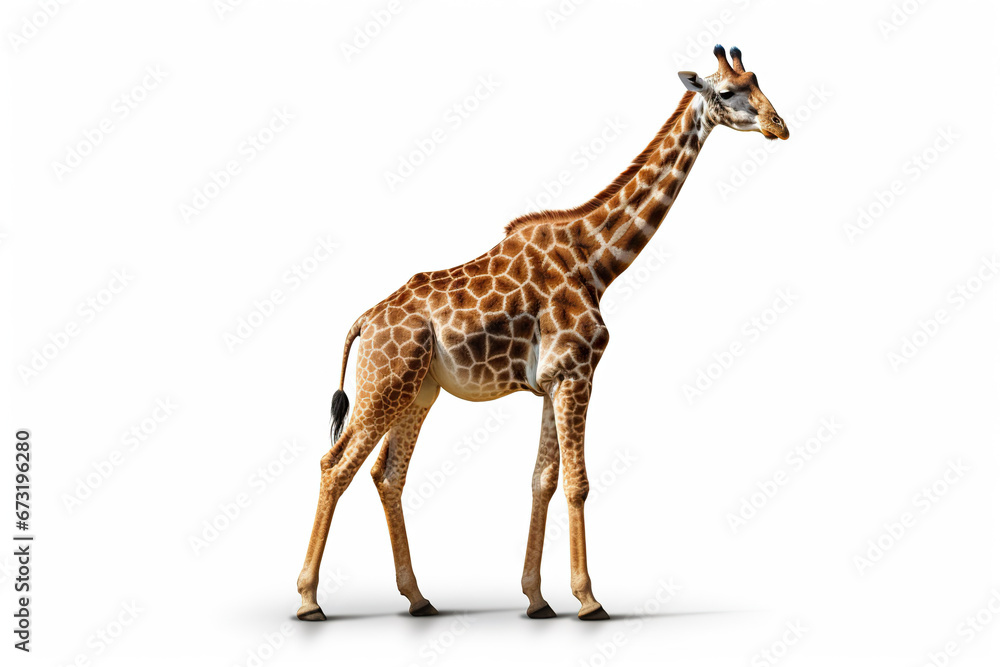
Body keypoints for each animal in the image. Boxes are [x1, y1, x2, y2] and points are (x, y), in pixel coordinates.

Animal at [296, 45, 788, 622]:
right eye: (728, 92)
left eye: (760, 82)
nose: (779, 126)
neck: (596, 262)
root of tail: (364, 321)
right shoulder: (577, 372)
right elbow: (577, 484)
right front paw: (589, 599)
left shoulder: (552, 380)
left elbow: (542, 480)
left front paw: (536, 599)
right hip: (385, 383)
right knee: (336, 465)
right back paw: (308, 600)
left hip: (418, 391)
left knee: (387, 474)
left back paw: (418, 598)